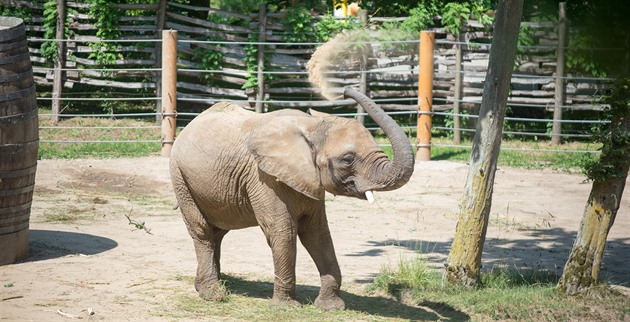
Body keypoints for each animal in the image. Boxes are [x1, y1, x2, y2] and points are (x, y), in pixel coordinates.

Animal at [169, 87, 414, 310]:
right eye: (348, 159)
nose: (344, 91)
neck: (311, 126)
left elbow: (317, 233)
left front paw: (331, 307)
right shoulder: (263, 177)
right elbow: (283, 231)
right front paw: (286, 308)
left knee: (218, 232)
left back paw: (209, 286)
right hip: (180, 177)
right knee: (202, 231)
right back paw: (213, 294)